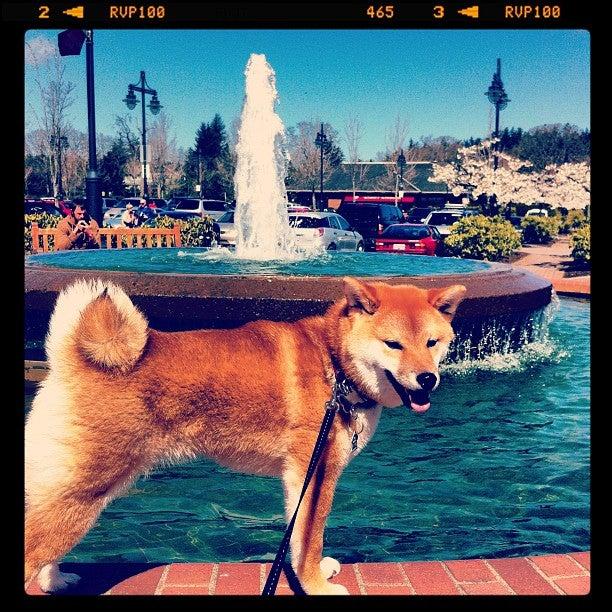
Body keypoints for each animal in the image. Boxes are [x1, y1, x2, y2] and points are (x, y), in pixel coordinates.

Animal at [22, 276, 464, 592]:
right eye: (393, 344)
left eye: (432, 342)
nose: (428, 378)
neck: (334, 364)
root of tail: (72, 362)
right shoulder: (317, 471)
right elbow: (312, 536)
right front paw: (317, 586)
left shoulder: (300, 477)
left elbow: (298, 537)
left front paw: (311, 574)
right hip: (86, 488)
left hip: (69, 490)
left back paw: (55, 580)